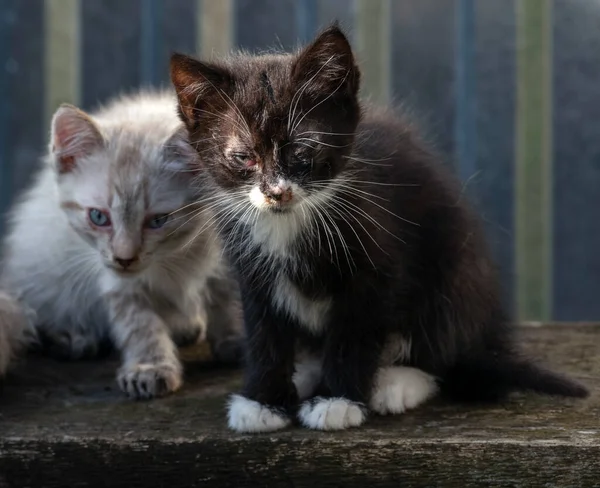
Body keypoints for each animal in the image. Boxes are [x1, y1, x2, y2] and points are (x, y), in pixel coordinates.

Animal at [1, 91, 244, 400]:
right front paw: (150, 367)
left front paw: (236, 340)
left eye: (158, 220)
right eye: (98, 217)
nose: (124, 259)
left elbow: (228, 294)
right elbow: (139, 323)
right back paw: (71, 336)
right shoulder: (117, 280)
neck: (178, 254)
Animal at [170, 24, 592, 432]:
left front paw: (336, 400)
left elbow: (355, 330)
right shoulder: (251, 269)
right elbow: (264, 332)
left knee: (443, 347)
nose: (277, 192)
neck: (292, 220)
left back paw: (395, 382)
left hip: (457, 265)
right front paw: (263, 401)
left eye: (302, 152)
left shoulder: (378, 258)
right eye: (244, 157)